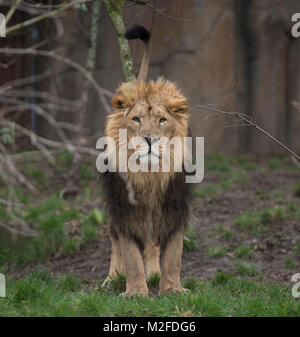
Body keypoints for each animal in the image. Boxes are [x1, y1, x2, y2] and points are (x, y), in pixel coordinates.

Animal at [101, 25, 193, 296]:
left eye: (162, 120)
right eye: (137, 119)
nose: (150, 138)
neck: (150, 174)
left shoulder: (174, 209)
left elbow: (173, 255)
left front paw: (172, 289)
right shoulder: (124, 211)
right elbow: (130, 255)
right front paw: (135, 293)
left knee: (152, 244)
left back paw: (153, 272)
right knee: (114, 241)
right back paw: (112, 278)